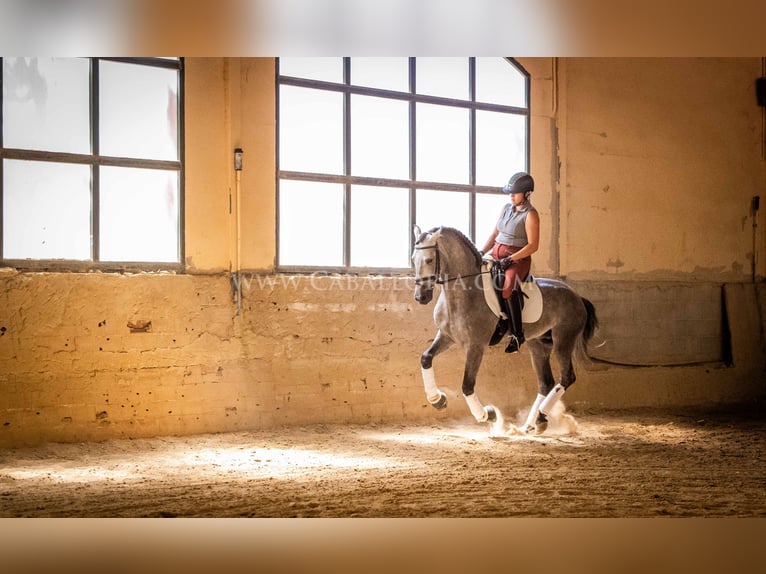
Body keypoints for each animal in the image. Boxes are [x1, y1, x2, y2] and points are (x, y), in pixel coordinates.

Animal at [414, 227, 600, 434]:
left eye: (429, 260)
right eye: (413, 259)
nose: (420, 297)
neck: (463, 292)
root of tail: (576, 296)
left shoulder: (476, 346)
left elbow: (467, 385)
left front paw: (488, 415)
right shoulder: (447, 336)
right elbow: (426, 358)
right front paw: (436, 399)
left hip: (563, 341)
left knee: (566, 377)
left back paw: (540, 417)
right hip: (538, 344)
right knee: (546, 383)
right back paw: (532, 424)